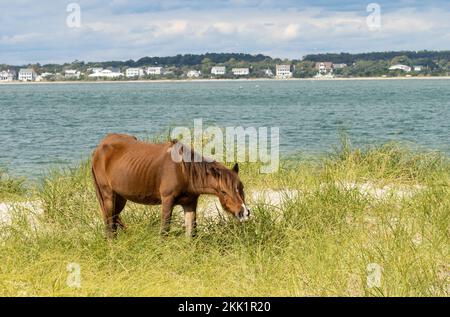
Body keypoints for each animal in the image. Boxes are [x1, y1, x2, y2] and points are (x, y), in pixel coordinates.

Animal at [91, 132, 250, 236]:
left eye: (241, 188)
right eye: (224, 192)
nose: (244, 212)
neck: (183, 171)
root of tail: (98, 148)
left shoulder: (190, 203)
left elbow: (192, 233)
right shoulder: (167, 201)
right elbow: (164, 231)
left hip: (120, 198)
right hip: (108, 196)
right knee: (110, 226)